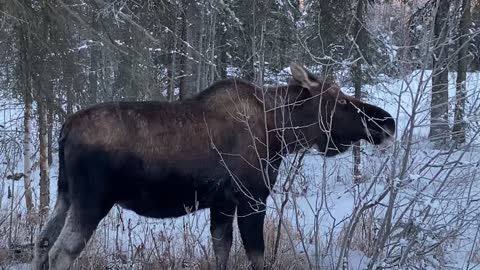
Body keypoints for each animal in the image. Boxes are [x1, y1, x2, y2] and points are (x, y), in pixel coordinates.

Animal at [31, 65, 396, 270]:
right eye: (342, 101)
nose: (387, 122)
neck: (281, 132)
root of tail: (65, 128)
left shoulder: (221, 204)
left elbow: (222, 251)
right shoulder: (252, 199)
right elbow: (256, 256)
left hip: (65, 193)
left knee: (43, 242)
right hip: (93, 200)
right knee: (61, 253)